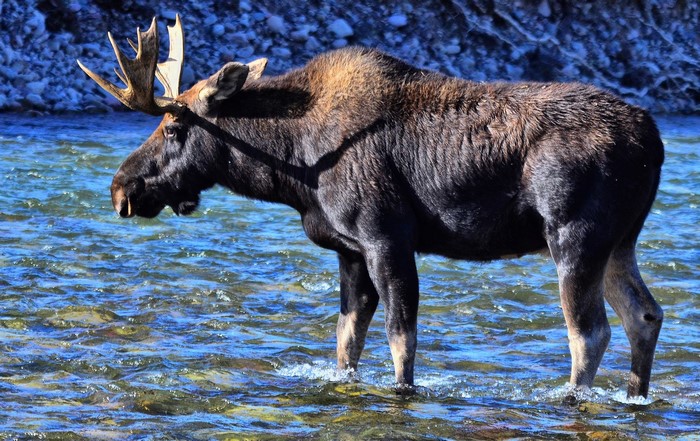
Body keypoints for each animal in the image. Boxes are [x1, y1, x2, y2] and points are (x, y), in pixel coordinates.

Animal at [77, 16, 664, 400]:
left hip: (573, 235)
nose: (121, 189)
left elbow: (401, 342)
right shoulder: (349, 250)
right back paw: (634, 398)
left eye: (173, 127)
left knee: (589, 332)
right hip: (620, 241)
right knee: (644, 315)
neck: (293, 165)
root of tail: (654, 140)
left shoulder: (386, 238)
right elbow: (347, 343)